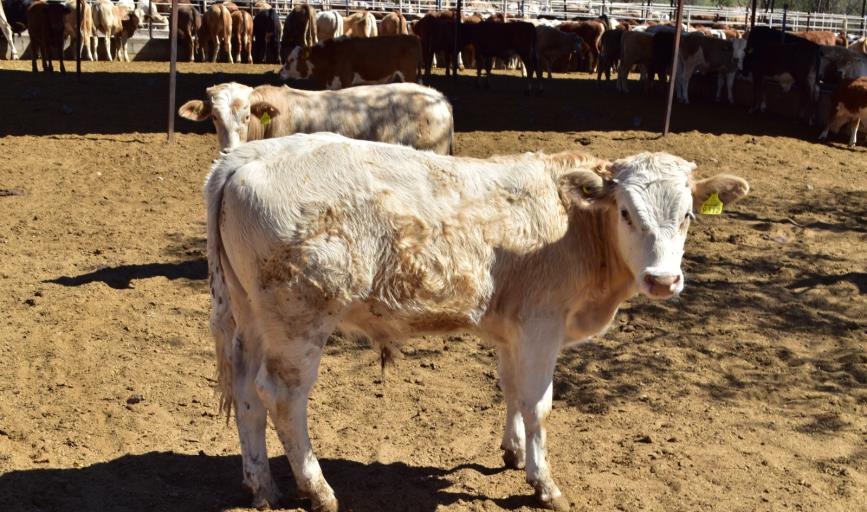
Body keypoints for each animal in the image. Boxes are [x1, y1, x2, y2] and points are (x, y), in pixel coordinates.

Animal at [205, 132, 752, 512]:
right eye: (625, 212)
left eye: (687, 215)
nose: (663, 279)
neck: (572, 224)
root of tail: (243, 156)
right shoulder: (541, 325)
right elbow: (538, 404)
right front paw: (544, 483)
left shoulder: (511, 330)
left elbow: (511, 390)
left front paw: (513, 453)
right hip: (299, 319)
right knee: (283, 398)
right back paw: (318, 490)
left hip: (251, 318)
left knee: (248, 395)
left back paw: (262, 486)